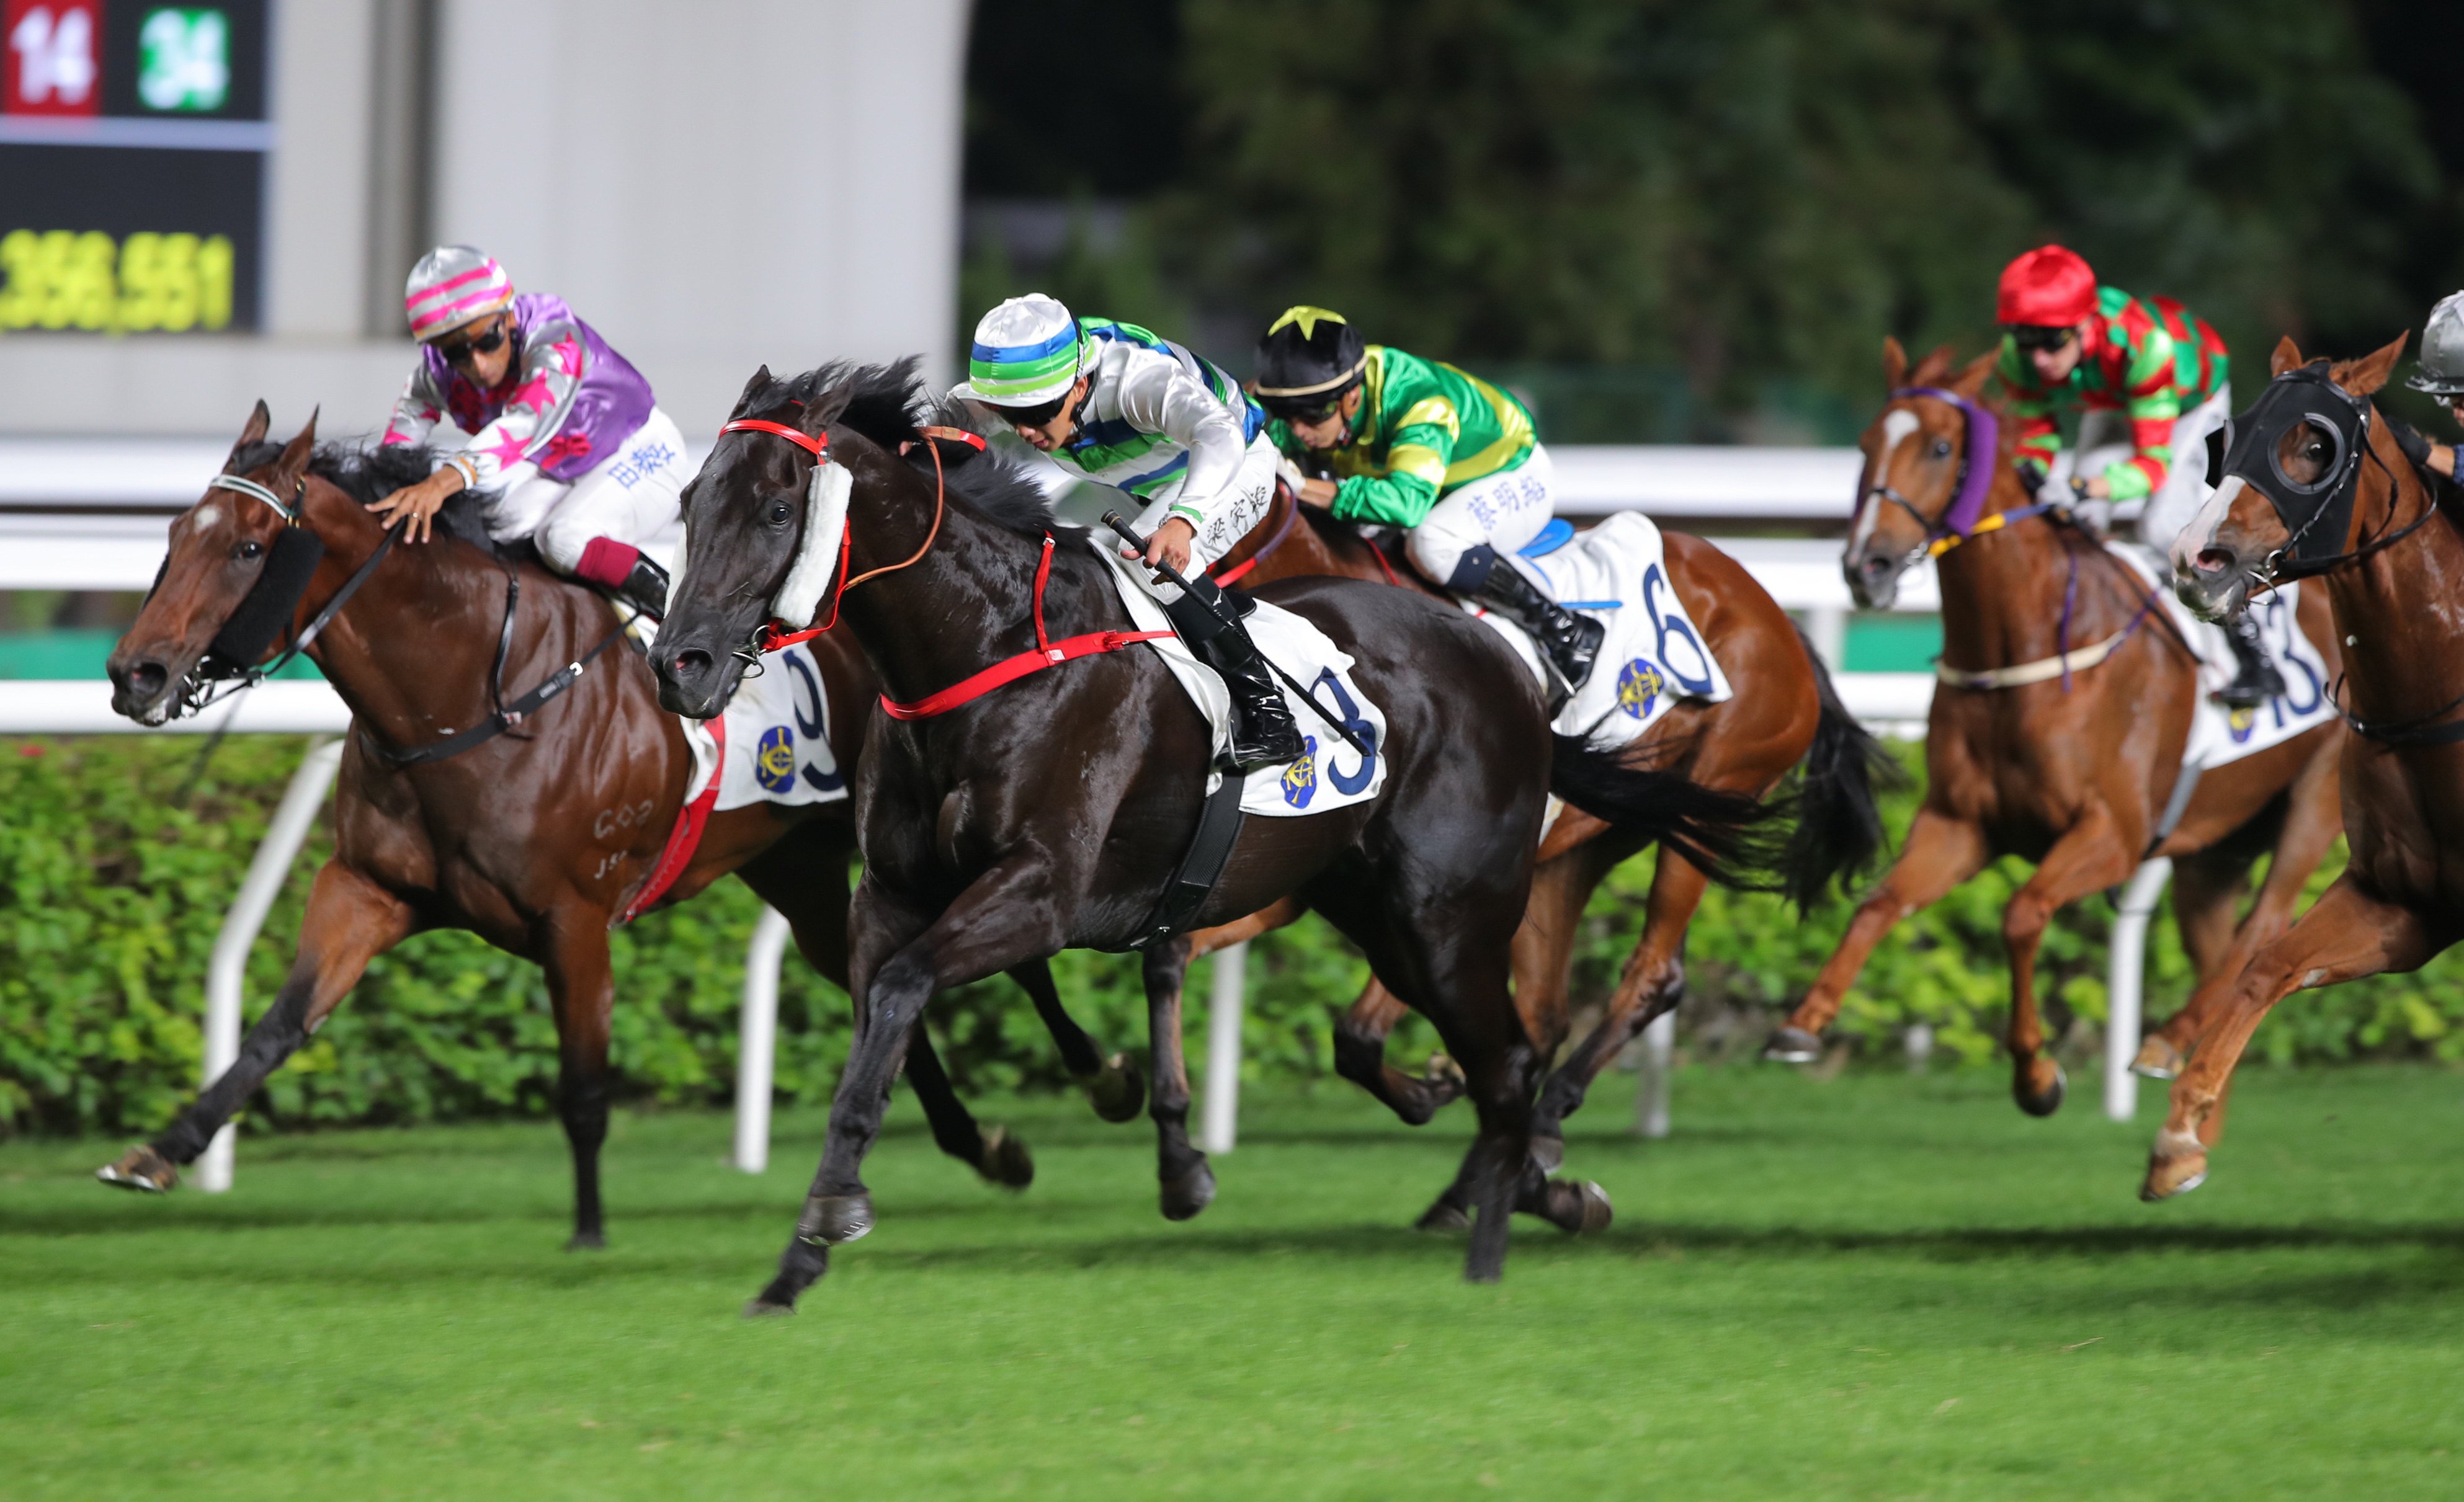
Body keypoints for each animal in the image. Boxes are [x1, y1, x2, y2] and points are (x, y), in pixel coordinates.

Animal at [1192, 485, 1882, 1186]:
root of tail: (1777, 616)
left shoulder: (1433, 891)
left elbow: (1361, 1032)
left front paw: (1435, 1087)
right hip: (1580, 850)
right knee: (1548, 1011)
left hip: (1718, 787)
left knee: (1652, 973)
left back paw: (1548, 1117)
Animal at [1774, 339, 2346, 1113]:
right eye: (1865, 445)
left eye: (1941, 447)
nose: (1868, 565)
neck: (2027, 644)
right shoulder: (1959, 823)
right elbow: (1880, 903)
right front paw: (1803, 1022)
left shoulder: (2114, 834)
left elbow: (2021, 913)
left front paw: (2037, 1075)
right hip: (2215, 849)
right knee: (2221, 945)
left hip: (2314, 800)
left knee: (2264, 926)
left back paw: (2164, 1041)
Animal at [2158, 337, 2464, 1191]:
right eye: (2228, 439)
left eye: (2316, 446)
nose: (2197, 559)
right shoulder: (2402, 903)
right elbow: (2269, 964)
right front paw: (2179, 1137)